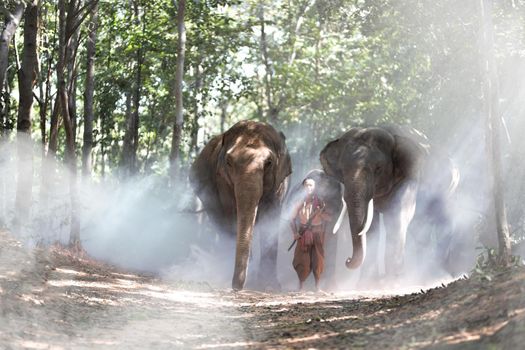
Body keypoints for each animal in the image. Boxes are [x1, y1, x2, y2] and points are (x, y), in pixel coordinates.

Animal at [190, 120, 292, 290]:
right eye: (229, 162)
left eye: (269, 163)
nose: (236, 288)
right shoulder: (222, 180)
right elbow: (232, 215)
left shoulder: (279, 183)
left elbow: (271, 217)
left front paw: (270, 286)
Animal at [318, 124, 456, 280]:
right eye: (341, 170)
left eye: (378, 168)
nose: (347, 260)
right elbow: (372, 226)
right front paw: (369, 282)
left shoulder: (411, 173)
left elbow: (398, 215)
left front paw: (393, 281)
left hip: (448, 187)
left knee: (443, 220)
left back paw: (441, 274)